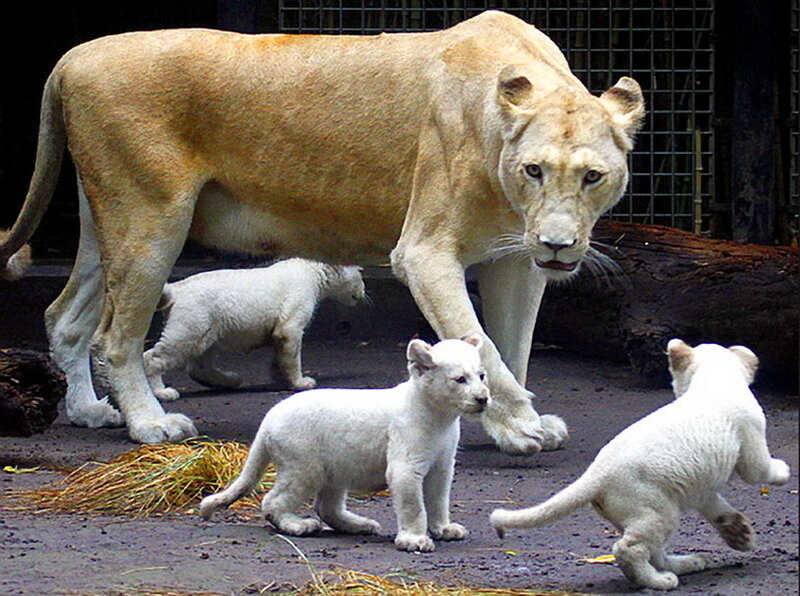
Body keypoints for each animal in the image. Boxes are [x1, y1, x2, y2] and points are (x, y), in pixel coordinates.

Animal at [0, 11, 643, 451]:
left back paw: (88, 411)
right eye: (534, 170)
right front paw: (521, 426)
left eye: (593, 176)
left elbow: (512, 347)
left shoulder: (515, 260)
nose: (557, 246)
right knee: (116, 335)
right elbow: (480, 341)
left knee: (66, 316)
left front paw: (509, 422)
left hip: (103, 217)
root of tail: (74, 56)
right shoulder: (424, 251)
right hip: (150, 216)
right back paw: (151, 423)